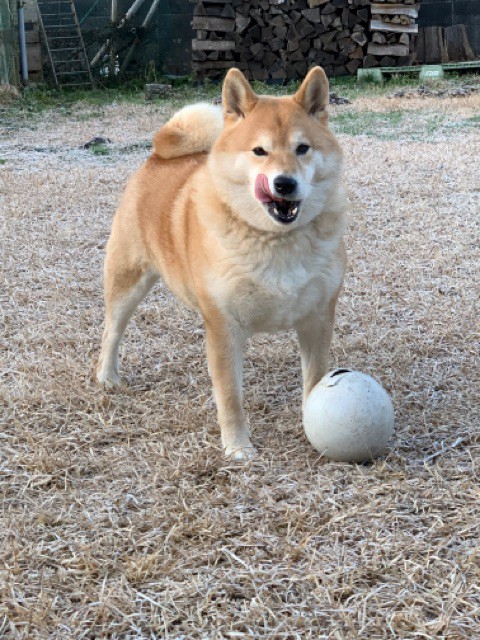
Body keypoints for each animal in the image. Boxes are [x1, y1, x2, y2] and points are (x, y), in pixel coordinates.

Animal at [96, 67, 344, 460]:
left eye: (302, 148)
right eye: (259, 151)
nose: (284, 183)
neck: (274, 240)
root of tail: (157, 154)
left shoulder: (317, 319)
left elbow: (315, 380)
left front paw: (313, 427)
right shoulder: (224, 326)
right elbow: (229, 396)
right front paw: (238, 448)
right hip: (127, 281)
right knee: (112, 332)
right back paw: (107, 377)